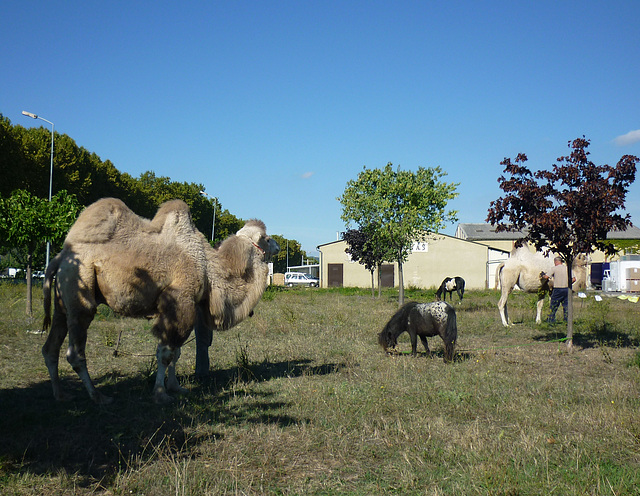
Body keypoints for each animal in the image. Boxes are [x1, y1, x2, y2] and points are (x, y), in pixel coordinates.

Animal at [42, 198, 278, 404]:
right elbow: (166, 353)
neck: (208, 268)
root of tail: (60, 257)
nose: (277, 246)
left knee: (50, 347)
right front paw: (160, 394)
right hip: (80, 286)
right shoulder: (179, 302)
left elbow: (176, 352)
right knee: (75, 351)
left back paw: (60, 394)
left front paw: (175, 387)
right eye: (267, 238)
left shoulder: (182, 307)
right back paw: (98, 396)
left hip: (62, 301)